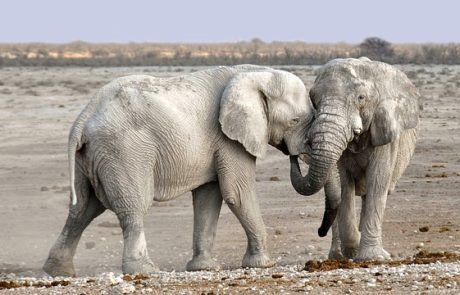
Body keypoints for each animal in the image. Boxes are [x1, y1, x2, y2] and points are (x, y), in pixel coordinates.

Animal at [43, 65, 318, 278]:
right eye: (294, 121)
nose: (295, 155)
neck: (255, 73)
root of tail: (84, 117)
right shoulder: (229, 139)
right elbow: (237, 193)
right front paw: (264, 264)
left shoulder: (217, 143)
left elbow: (208, 198)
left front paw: (203, 268)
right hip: (124, 151)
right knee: (133, 207)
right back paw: (145, 270)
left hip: (90, 156)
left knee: (83, 209)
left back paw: (58, 271)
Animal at [292, 57, 420, 262]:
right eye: (313, 98)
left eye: (361, 98)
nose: (319, 231)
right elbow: (344, 185)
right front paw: (354, 249)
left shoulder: (384, 131)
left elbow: (378, 180)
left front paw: (372, 257)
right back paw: (338, 256)